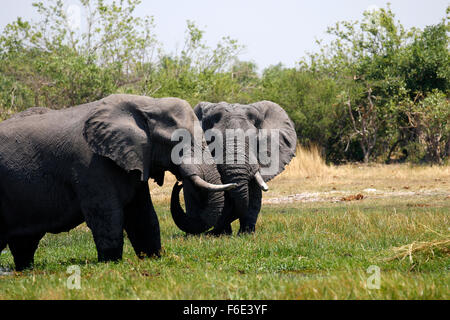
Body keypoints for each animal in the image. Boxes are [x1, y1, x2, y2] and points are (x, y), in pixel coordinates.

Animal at [1, 94, 236, 270]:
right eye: (178, 141)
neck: (145, 104)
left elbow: (143, 215)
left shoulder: (136, 158)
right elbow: (106, 214)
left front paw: (152, 258)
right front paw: (110, 263)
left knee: (24, 243)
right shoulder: (89, 164)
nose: (178, 183)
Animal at [171, 102, 298, 235]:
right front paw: (223, 234)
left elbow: (253, 197)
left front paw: (246, 234)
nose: (212, 232)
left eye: (255, 140)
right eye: (212, 140)